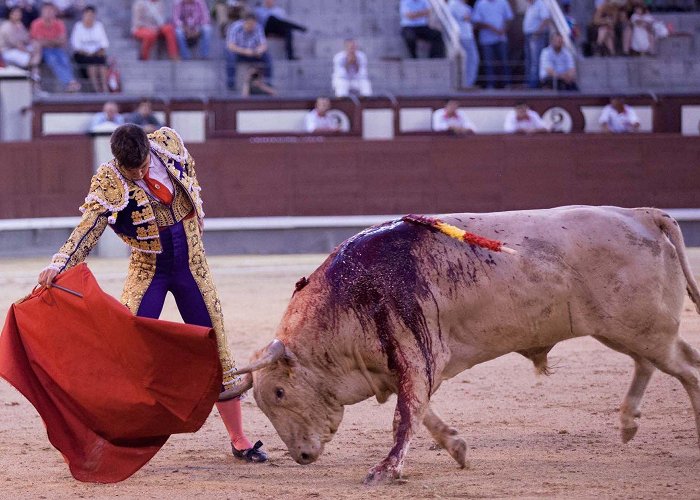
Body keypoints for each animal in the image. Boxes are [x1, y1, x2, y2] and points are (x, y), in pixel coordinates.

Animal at [227, 206, 696, 484]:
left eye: (279, 392)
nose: (302, 455)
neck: (349, 297)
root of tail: (643, 213)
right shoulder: (401, 366)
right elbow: (422, 412)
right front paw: (456, 447)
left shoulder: (415, 356)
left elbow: (405, 417)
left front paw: (385, 470)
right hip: (625, 329)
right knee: (653, 363)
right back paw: (629, 422)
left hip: (641, 326)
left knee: (685, 365)